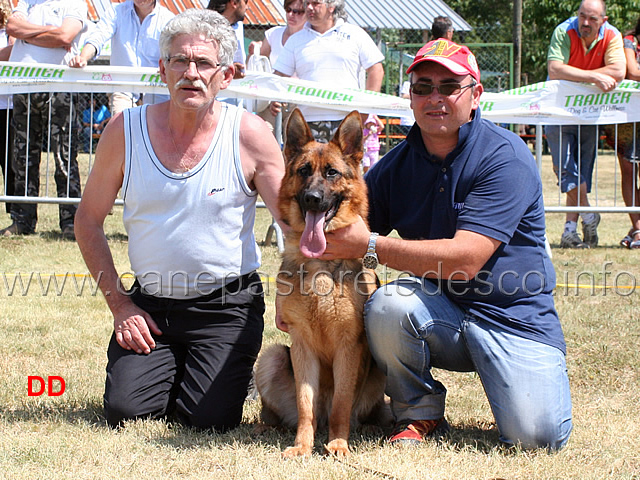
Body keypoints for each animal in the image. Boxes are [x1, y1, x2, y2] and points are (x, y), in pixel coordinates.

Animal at [254, 109, 384, 458]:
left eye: (331, 173)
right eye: (303, 171)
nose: (313, 199)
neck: (321, 265)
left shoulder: (348, 348)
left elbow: (341, 403)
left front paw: (337, 444)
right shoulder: (302, 346)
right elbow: (305, 405)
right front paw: (302, 446)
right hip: (272, 355)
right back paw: (267, 426)